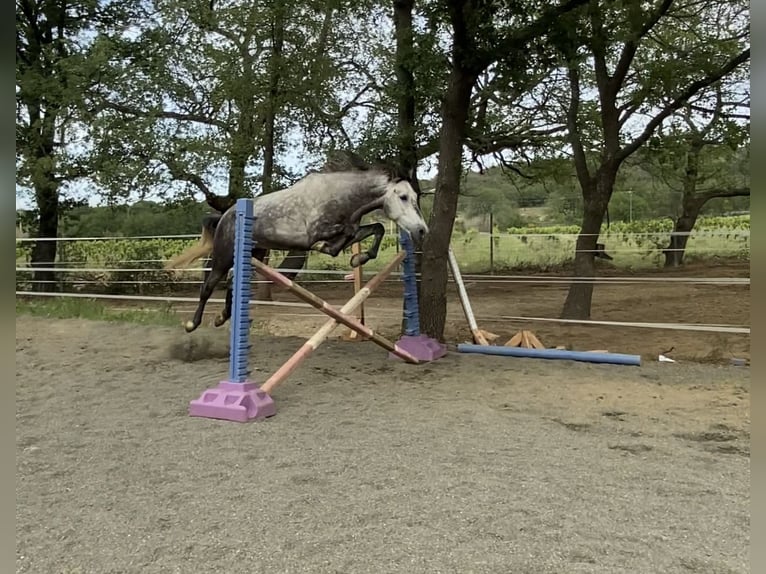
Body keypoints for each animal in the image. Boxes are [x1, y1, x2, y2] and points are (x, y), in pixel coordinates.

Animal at [166, 154, 428, 332]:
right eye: (403, 197)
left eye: (416, 197)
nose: (421, 230)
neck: (343, 196)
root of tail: (225, 216)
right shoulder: (315, 231)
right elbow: (339, 235)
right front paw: (328, 249)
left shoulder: (351, 228)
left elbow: (375, 229)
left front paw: (357, 258)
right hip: (223, 255)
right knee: (208, 286)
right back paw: (192, 324)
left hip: (255, 254)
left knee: (232, 284)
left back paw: (222, 317)